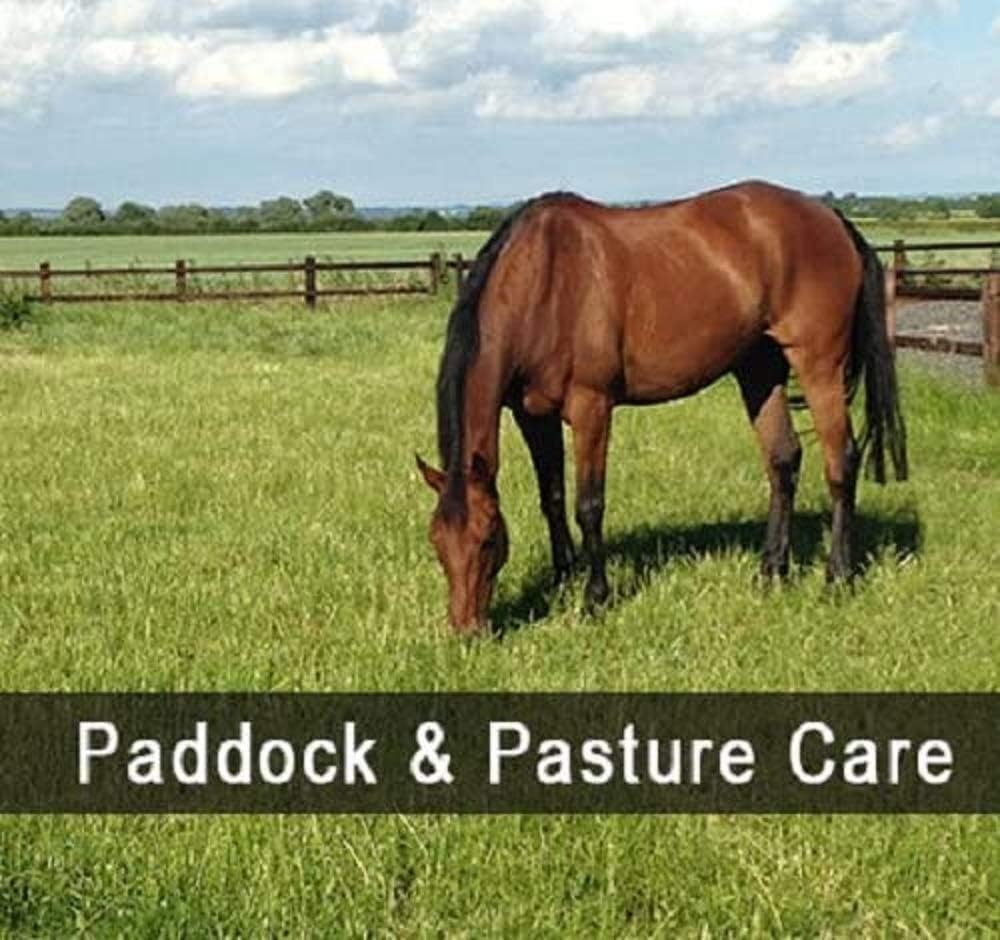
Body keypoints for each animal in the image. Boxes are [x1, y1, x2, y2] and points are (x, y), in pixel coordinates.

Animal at [417, 181, 908, 634]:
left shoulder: (591, 407)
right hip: (759, 368)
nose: (467, 631)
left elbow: (588, 504)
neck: (546, 279)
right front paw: (562, 580)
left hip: (819, 364)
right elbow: (551, 498)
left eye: (487, 540)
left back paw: (837, 578)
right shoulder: (532, 415)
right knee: (783, 460)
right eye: (437, 542)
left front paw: (595, 599)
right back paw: (771, 573)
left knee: (841, 462)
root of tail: (831, 218)